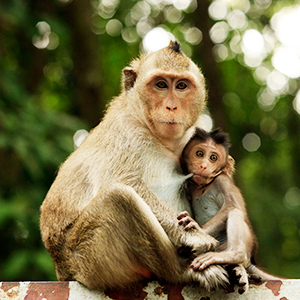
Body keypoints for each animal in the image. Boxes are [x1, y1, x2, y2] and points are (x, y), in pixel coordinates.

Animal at [39, 41, 227, 290]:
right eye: (160, 84)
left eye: (181, 86)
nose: (171, 107)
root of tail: (62, 269)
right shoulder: (127, 133)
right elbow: (122, 182)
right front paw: (195, 235)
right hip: (87, 258)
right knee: (119, 199)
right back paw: (181, 271)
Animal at [178, 128, 278, 292]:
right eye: (199, 153)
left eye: (213, 157)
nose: (204, 165)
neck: (203, 186)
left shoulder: (222, 181)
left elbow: (232, 206)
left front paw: (198, 227)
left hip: (245, 244)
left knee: (235, 212)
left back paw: (236, 256)